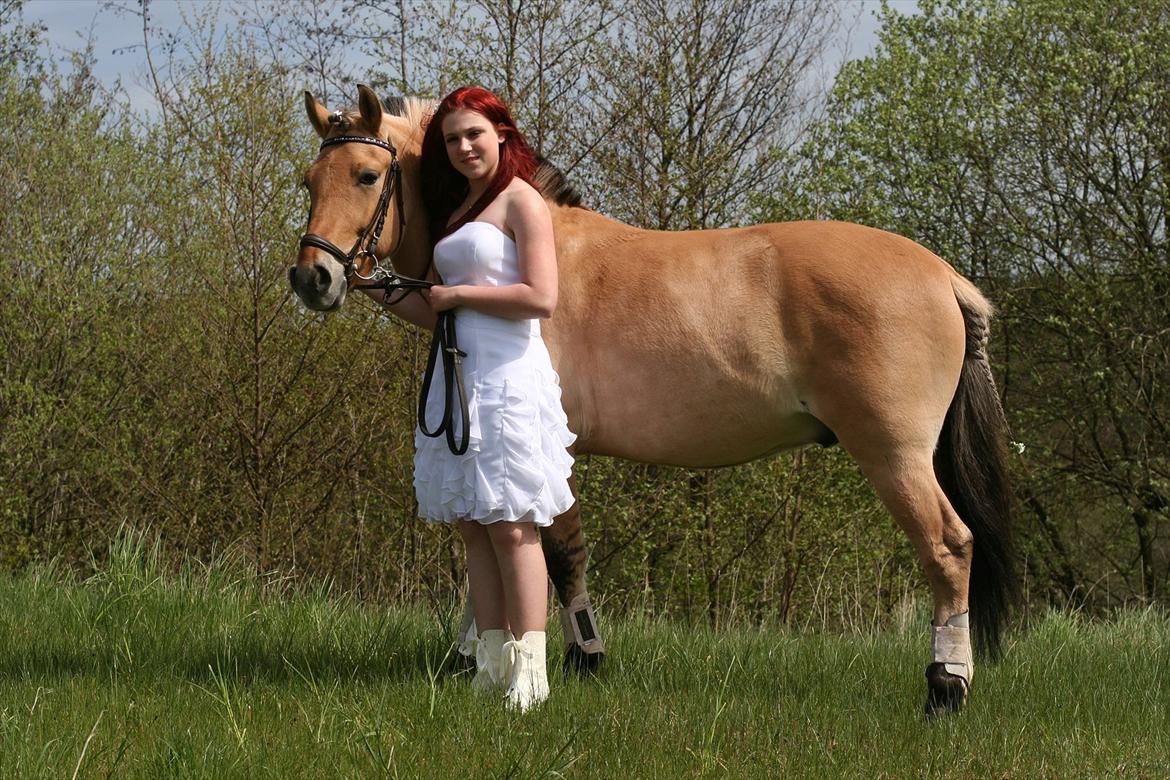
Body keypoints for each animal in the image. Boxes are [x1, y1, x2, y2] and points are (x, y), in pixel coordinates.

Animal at [292, 88, 1015, 715]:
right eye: (309, 180)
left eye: (365, 175)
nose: (312, 277)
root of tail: (944, 276)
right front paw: (479, 657)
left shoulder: (552, 450)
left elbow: (559, 554)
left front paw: (578, 658)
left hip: (894, 455)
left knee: (949, 547)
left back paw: (946, 686)